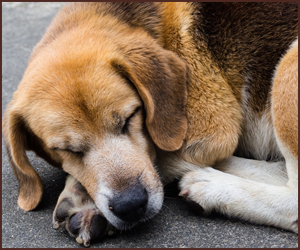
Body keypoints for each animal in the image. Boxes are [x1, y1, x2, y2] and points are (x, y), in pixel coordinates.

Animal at [2, 2, 298, 247]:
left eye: (130, 118)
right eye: (66, 150)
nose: (131, 206)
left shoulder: (213, 133)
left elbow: (159, 155)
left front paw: (83, 198)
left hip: (288, 67)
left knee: (292, 198)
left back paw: (210, 186)